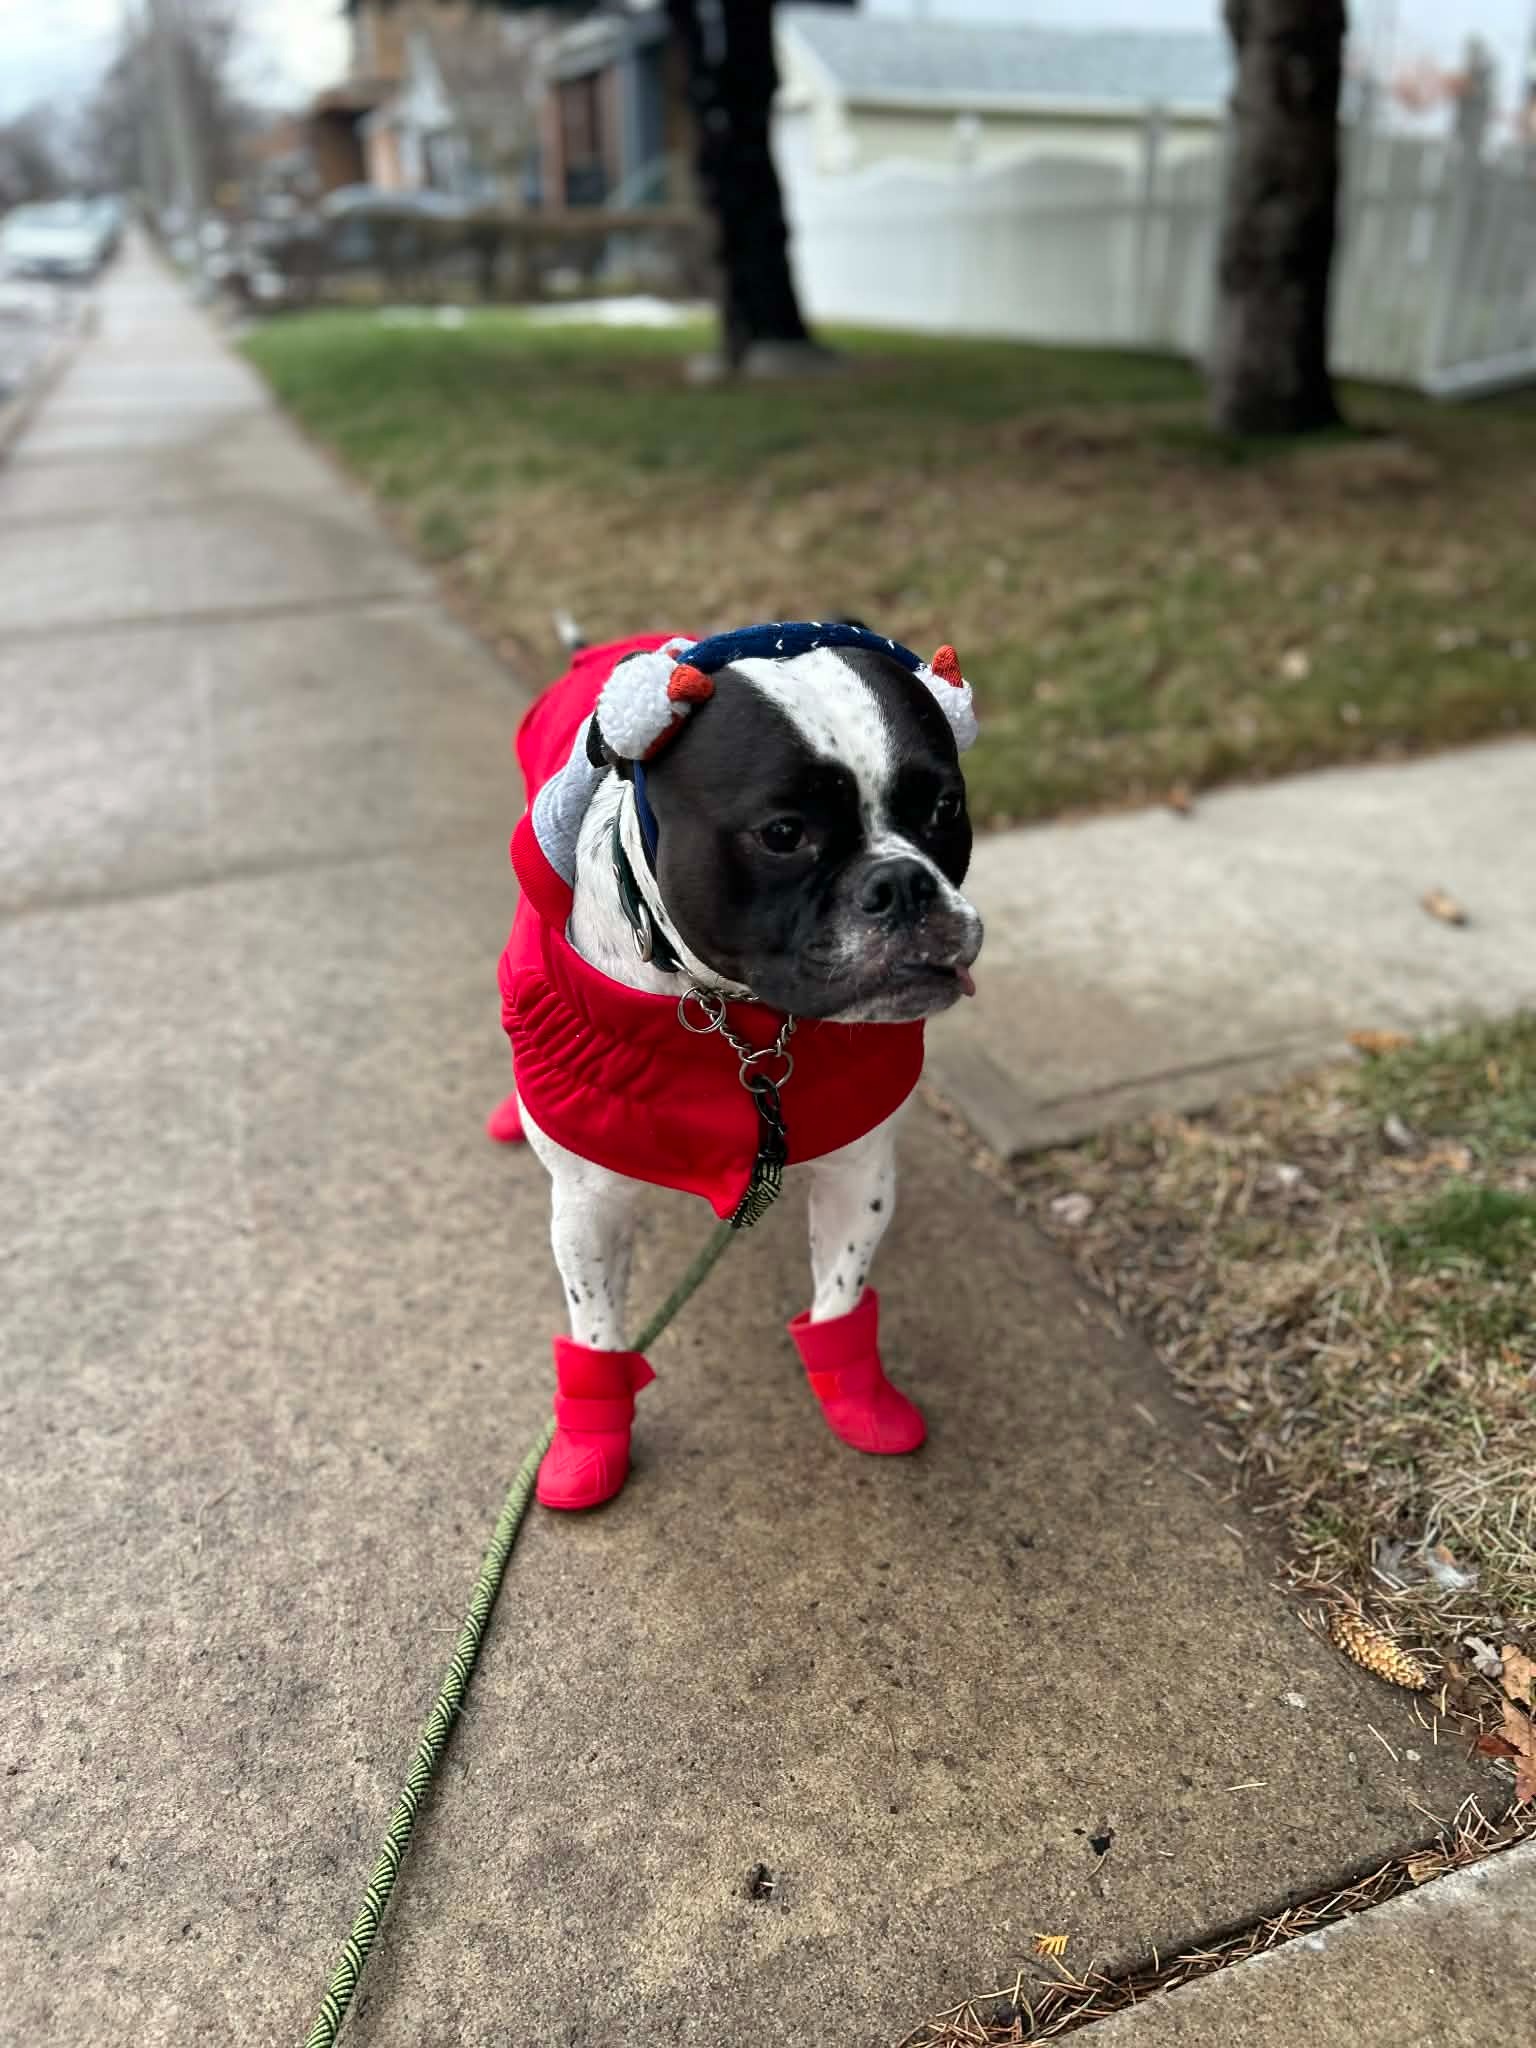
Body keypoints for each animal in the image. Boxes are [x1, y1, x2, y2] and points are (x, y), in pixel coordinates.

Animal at [491, 621, 983, 1510]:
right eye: (784, 834)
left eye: (944, 808)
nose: (901, 882)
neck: (735, 1018)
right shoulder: (588, 1204)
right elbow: (596, 1325)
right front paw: (589, 1438)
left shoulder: (859, 1172)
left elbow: (840, 1292)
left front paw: (855, 1396)